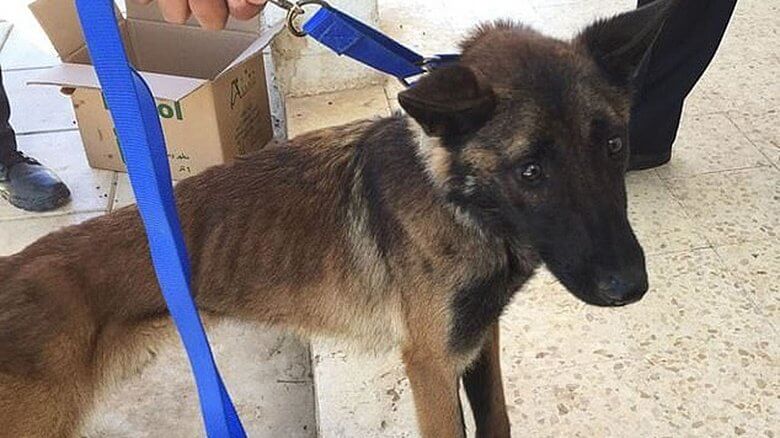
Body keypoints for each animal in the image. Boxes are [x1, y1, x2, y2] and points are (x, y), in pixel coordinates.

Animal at [0, 1, 672, 436]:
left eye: (615, 146)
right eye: (531, 171)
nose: (631, 287)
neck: (461, 203)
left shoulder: (480, 343)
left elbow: (497, 419)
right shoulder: (431, 367)